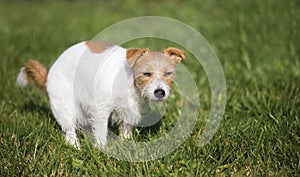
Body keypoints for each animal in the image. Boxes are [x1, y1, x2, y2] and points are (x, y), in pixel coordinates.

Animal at [16, 40, 186, 148]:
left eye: (168, 74)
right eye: (146, 73)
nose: (160, 92)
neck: (130, 82)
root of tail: (48, 76)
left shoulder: (130, 111)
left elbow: (126, 129)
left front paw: (126, 145)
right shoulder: (100, 109)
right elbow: (101, 131)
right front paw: (101, 149)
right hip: (65, 105)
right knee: (69, 129)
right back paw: (75, 146)